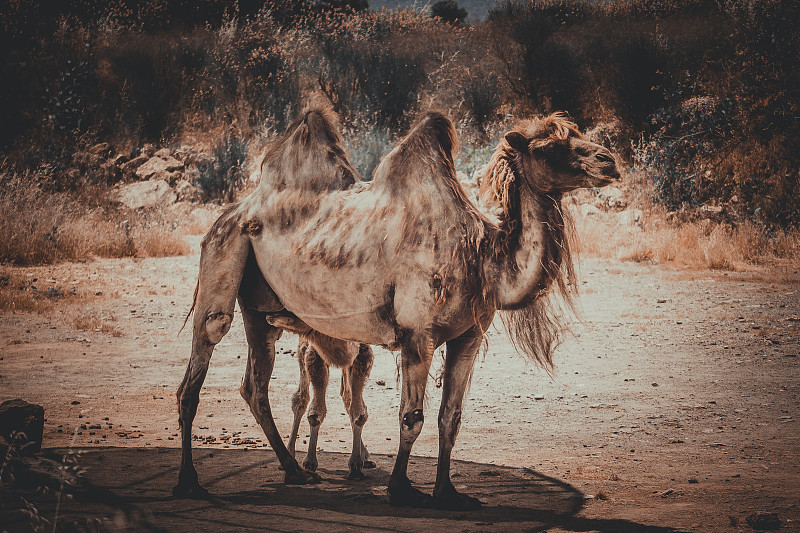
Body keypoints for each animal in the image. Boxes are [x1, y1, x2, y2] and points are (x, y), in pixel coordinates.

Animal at [175, 106, 620, 510]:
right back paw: (190, 482)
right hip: (223, 250)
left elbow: (450, 417)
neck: (481, 257)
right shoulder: (417, 334)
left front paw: (448, 493)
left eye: (577, 133)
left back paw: (295, 471)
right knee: (204, 350)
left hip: (259, 306)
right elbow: (412, 417)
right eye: (548, 146)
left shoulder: (469, 336)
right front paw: (401, 489)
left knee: (256, 383)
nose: (609, 161)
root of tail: (232, 211)